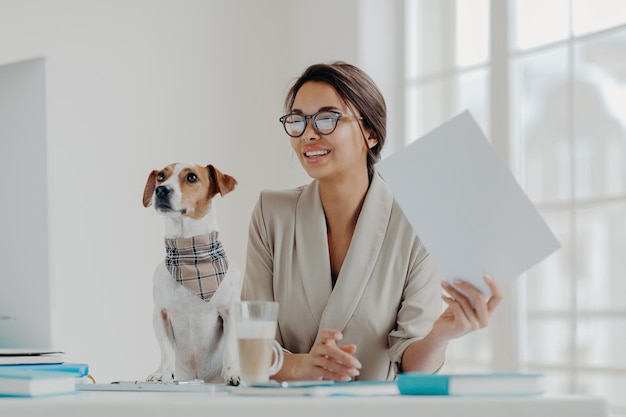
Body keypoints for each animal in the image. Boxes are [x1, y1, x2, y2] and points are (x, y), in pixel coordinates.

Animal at [143, 162, 240, 384]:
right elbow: (166, 350)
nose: (161, 190)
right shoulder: (160, 313)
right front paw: (161, 372)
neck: (190, 254)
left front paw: (232, 372)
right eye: (160, 177)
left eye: (192, 177)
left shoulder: (230, 312)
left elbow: (230, 347)